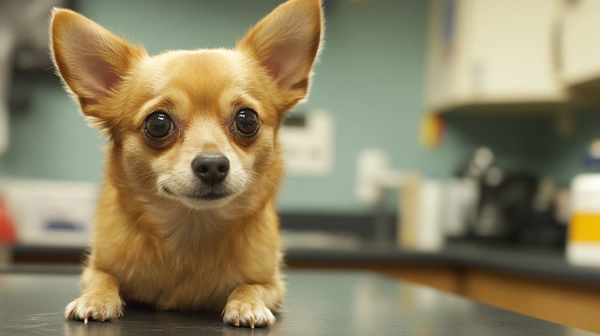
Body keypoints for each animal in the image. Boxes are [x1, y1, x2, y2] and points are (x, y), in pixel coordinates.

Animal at [48, 0, 324, 328]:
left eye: (247, 120)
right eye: (158, 123)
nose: (213, 164)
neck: (192, 230)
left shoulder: (273, 284)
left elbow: (250, 285)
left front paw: (247, 304)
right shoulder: (94, 268)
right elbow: (105, 278)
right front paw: (95, 299)